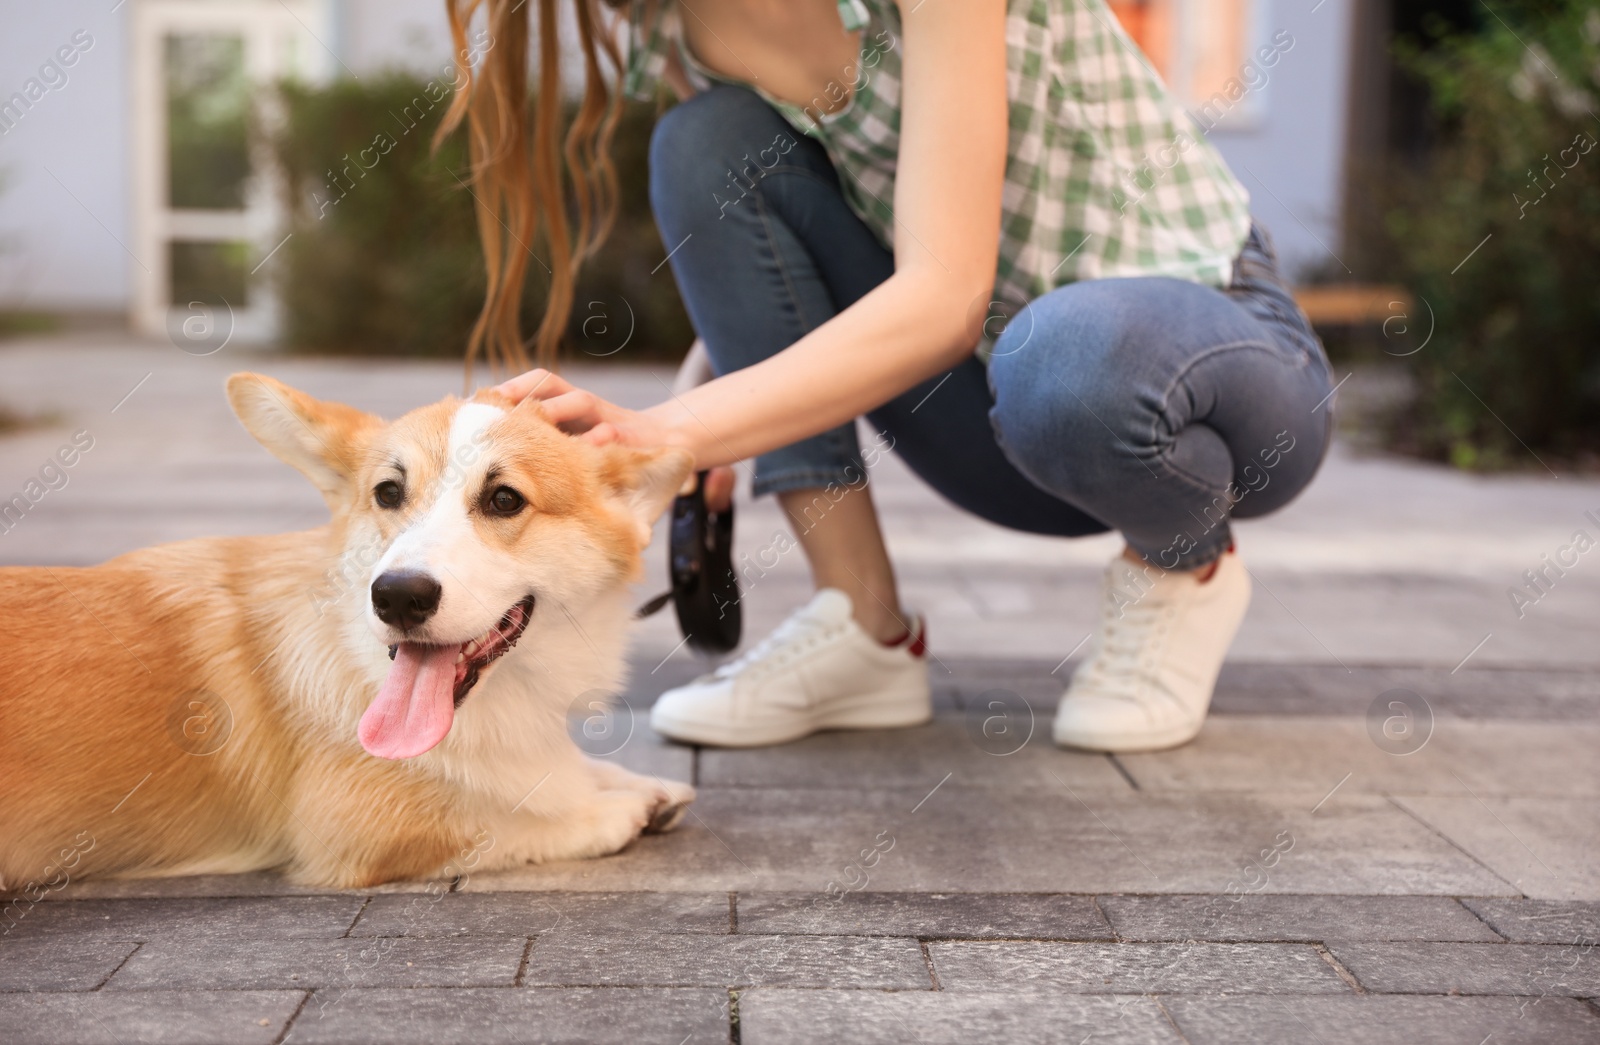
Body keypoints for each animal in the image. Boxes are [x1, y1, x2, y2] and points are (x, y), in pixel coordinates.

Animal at [1, 374, 700, 889]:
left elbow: (570, 774)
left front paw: (643, 786)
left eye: (504, 500)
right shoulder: (357, 829)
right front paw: (616, 811)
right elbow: (511, 820)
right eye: (387, 493)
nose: (397, 596)